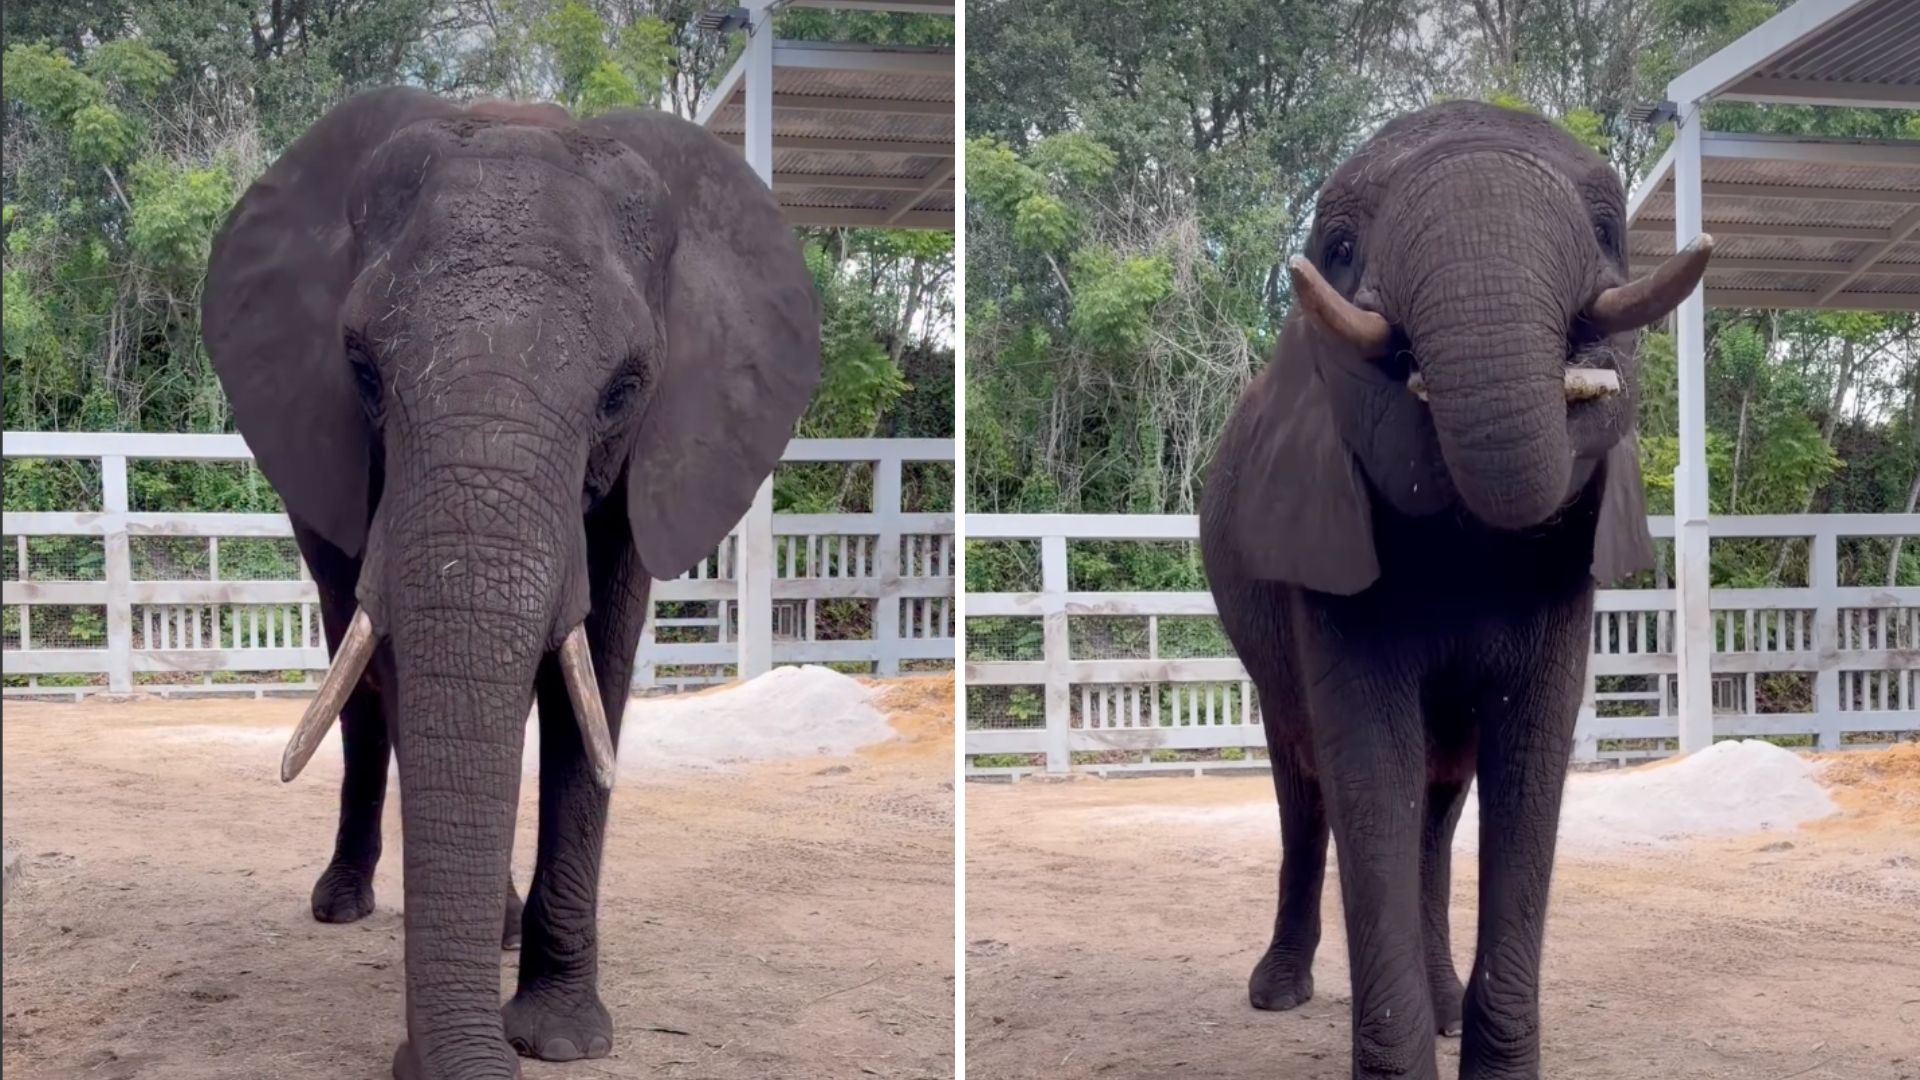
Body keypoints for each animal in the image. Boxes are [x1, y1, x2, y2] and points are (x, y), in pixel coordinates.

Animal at [200, 88, 821, 1079]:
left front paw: (561, 1038)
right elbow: (408, 659)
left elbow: (594, 683)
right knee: (358, 670)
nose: (415, 1063)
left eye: (623, 390)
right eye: (361, 369)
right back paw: (350, 905)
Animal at [1197, 100, 1711, 1079]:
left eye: (1608, 232)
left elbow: (1530, 760)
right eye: (1340, 247)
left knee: (1436, 808)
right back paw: (1277, 994)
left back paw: (1436, 1006)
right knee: (1306, 790)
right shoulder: (1326, 544)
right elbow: (1370, 764)